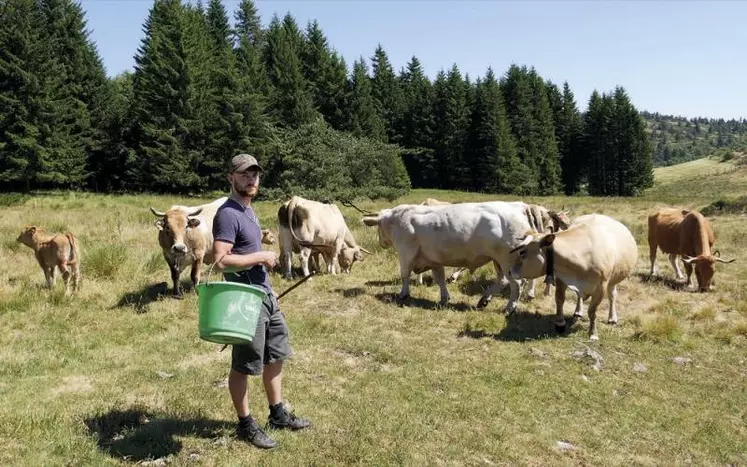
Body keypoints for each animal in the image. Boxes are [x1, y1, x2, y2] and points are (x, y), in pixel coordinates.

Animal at [360, 200, 540, 312]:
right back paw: (484, 300)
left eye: (378, 228)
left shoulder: (405, 253)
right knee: (503, 281)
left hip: (507, 261)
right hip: (498, 261)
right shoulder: (434, 260)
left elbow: (405, 275)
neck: (397, 219)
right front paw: (444, 298)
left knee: (517, 284)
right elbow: (440, 279)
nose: (381, 243)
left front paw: (403, 294)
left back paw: (510, 308)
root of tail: (520, 206)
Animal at [512, 214, 640, 342]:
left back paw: (612, 317)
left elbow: (592, 311)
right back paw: (578, 311)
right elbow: (559, 299)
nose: (510, 271)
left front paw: (593, 333)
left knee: (612, 295)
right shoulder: (561, 278)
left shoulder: (601, 287)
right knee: (579, 296)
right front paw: (560, 323)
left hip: (614, 279)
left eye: (522, 252)